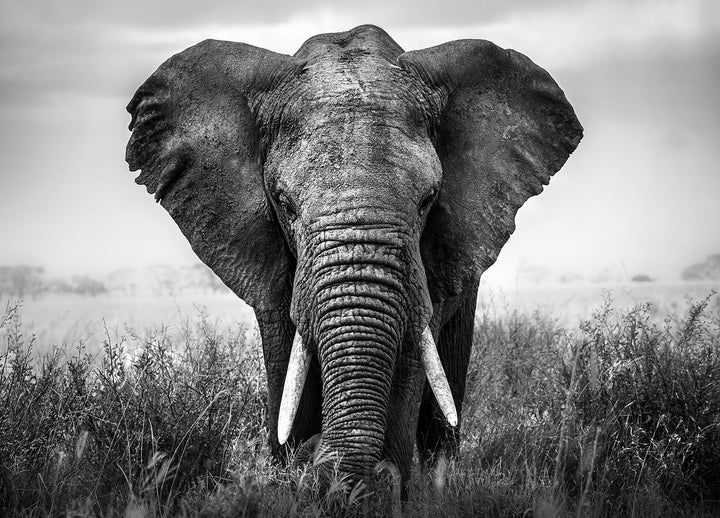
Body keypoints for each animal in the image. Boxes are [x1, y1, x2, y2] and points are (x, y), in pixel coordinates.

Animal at [125, 24, 582, 488]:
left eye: (428, 201)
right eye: (285, 204)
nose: (317, 456)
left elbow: (410, 355)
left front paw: (381, 485)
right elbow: (287, 358)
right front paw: (294, 474)